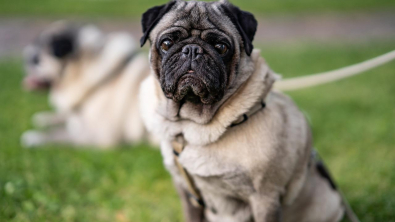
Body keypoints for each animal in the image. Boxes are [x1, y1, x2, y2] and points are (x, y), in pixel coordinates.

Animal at [20, 21, 155, 149]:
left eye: (36, 61)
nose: (27, 58)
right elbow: (64, 117)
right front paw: (45, 118)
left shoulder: (101, 135)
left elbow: (62, 135)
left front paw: (35, 137)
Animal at [138, 0, 352, 222]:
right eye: (166, 44)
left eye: (221, 47)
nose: (192, 49)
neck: (193, 125)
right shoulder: (187, 193)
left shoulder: (264, 198)